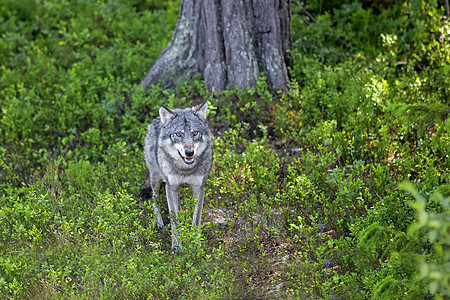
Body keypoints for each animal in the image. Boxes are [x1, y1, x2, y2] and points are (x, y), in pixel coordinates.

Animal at [142, 101, 214, 251]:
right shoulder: (171, 187)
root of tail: (156, 120)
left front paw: (196, 245)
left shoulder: (199, 188)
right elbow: (174, 220)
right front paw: (177, 246)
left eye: (195, 133)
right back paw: (159, 223)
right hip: (156, 178)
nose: (189, 153)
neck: (185, 169)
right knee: (154, 197)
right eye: (179, 134)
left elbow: (196, 220)